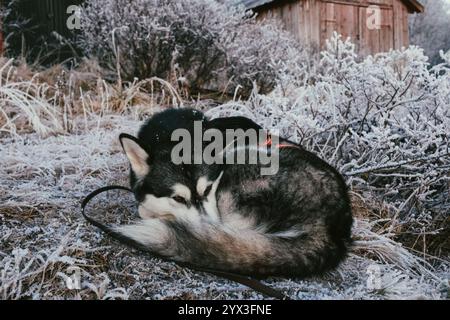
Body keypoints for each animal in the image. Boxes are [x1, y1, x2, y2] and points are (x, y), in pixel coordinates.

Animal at [96, 108, 356, 278]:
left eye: (209, 188)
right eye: (178, 198)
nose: (208, 226)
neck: (171, 133)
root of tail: (332, 228)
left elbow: (145, 209)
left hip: (241, 158)